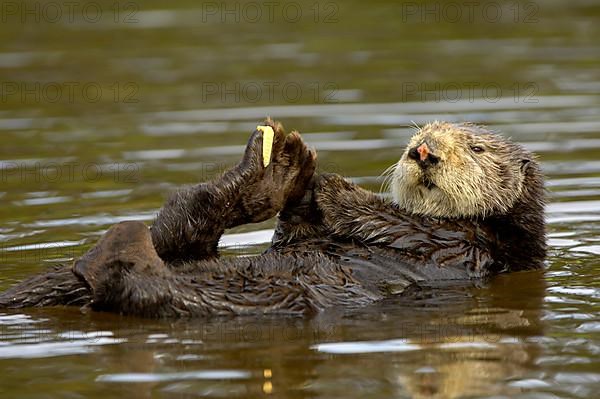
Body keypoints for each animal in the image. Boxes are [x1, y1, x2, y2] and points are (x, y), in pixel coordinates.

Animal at [0, 120, 544, 318]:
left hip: (267, 297)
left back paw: (119, 253)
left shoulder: (465, 245)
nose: (422, 151)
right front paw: (308, 189)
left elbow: (398, 222)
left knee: (143, 286)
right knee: (183, 226)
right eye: (420, 133)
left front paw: (337, 188)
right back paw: (275, 169)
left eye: (476, 148)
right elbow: (297, 231)